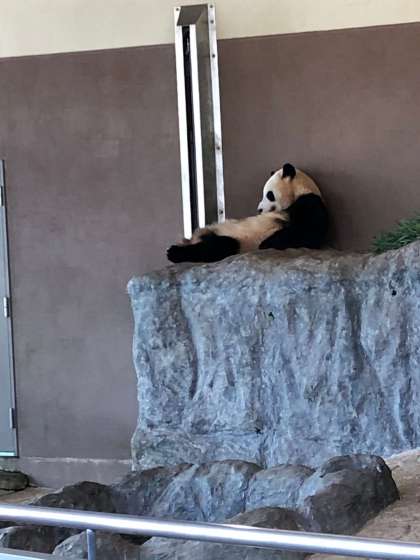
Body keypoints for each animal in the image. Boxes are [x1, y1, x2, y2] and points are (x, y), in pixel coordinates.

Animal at [167, 163, 328, 263]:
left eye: (269, 195)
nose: (259, 210)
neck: (301, 191)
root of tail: (195, 238)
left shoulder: (310, 202)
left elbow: (307, 231)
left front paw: (267, 242)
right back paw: (174, 251)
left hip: (238, 242)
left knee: (220, 246)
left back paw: (174, 252)